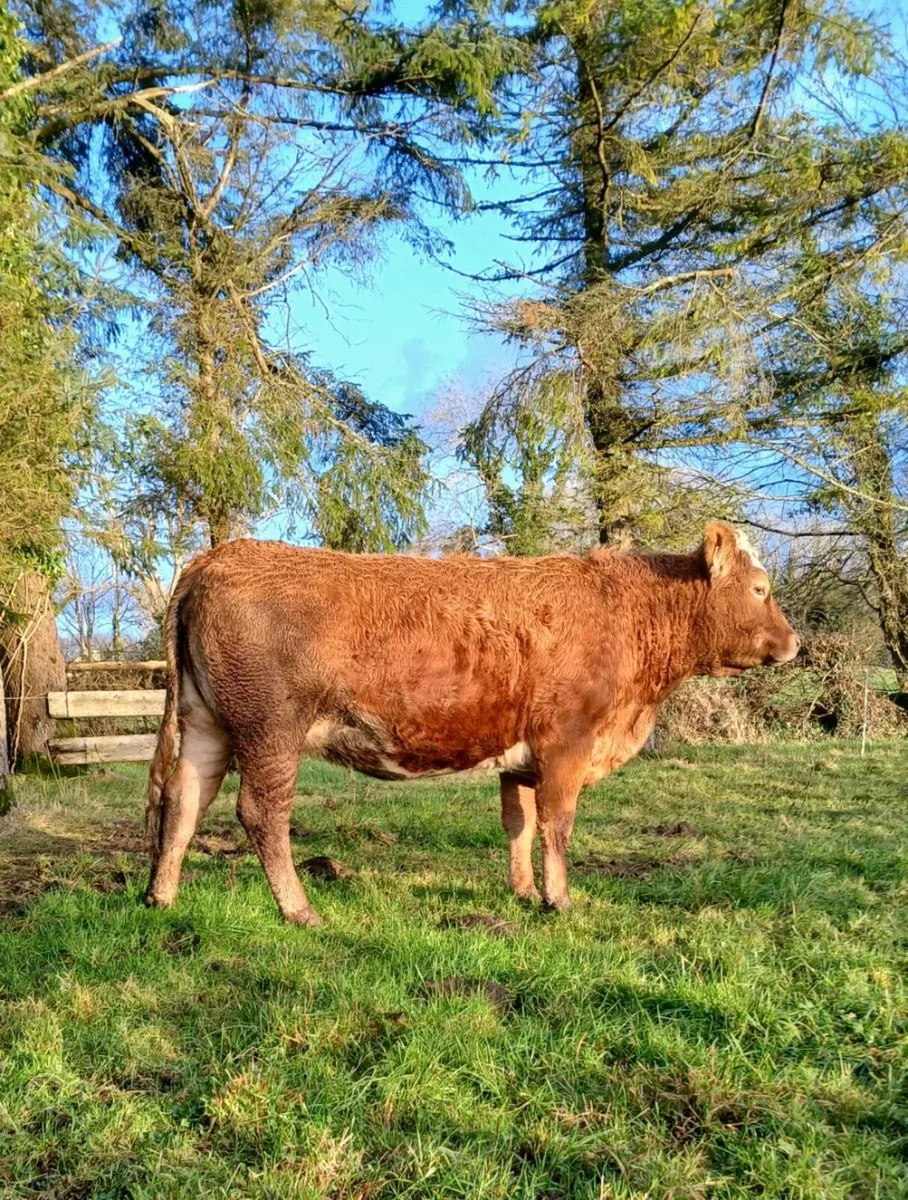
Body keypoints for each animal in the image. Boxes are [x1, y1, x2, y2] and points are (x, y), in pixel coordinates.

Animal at [145, 521, 798, 925]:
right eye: (760, 587)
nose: (794, 644)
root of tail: (219, 555)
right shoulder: (567, 744)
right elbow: (557, 825)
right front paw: (559, 900)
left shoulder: (523, 757)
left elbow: (520, 824)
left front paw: (524, 891)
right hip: (271, 729)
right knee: (261, 812)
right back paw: (299, 910)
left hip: (207, 723)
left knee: (184, 799)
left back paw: (162, 896)